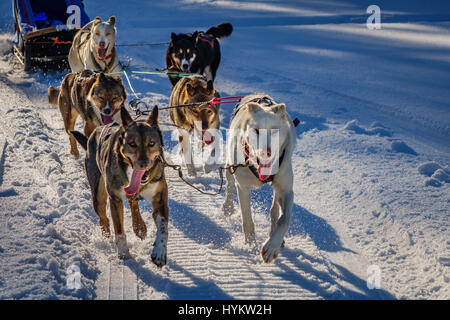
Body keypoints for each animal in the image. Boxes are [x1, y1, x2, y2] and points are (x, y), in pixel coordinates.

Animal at [71, 106, 170, 266]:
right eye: (132, 144)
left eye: (151, 143)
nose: (143, 164)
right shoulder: (115, 199)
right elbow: (119, 229)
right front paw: (124, 254)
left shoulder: (160, 199)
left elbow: (163, 229)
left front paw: (160, 252)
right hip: (98, 194)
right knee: (104, 218)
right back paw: (107, 238)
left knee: (132, 203)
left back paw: (139, 227)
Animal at [223, 94, 298, 264]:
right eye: (256, 131)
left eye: (274, 130)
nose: (266, 152)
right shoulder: (243, 187)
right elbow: (247, 219)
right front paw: (251, 244)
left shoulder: (287, 190)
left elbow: (284, 220)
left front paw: (272, 247)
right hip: (230, 163)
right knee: (229, 183)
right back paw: (228, 206)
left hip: (279, 188)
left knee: (274, 210)